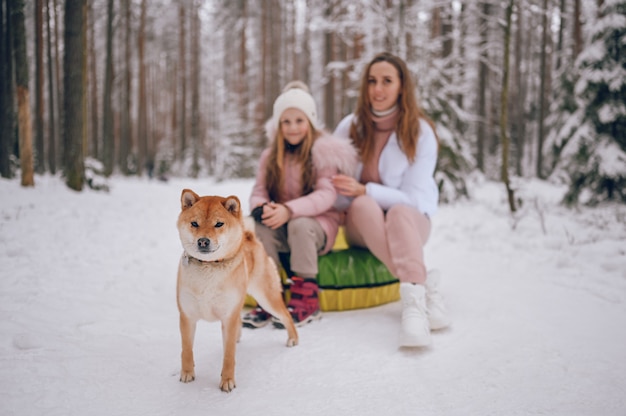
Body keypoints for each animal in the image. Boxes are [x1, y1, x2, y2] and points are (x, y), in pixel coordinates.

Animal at [173, 190, 294, 392]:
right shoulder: (187, 316)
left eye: (219, 224)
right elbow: (186, 349)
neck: (209, 269)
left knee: (286, 315)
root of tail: (250, 237)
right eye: (194, 223)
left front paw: (227, 381)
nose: (203, 241)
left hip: (266, 298)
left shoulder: (228, 316)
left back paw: (293, 339)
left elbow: (229, 355)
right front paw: (187, 373)